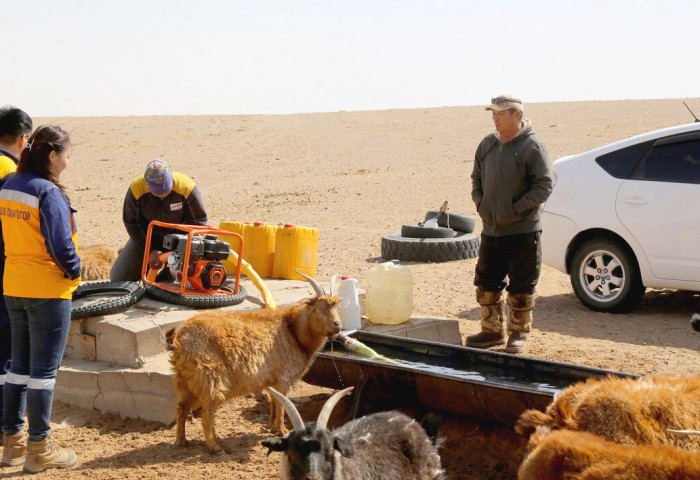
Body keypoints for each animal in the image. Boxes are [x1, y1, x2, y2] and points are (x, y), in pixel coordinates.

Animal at [164, 272, 340, 456]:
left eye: (338, 307)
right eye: (321, 307)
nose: (338, 325)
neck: (292, 332)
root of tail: (179, 341)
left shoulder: (272, 380)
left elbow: (274, 402)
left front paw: (271, 426)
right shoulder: (283, 378)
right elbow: (282, 405)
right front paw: (283, 430)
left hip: (185, 381)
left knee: (181, 408)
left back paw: (181, 441)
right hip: (210, 378)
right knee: (207, 413)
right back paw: (215, 447)